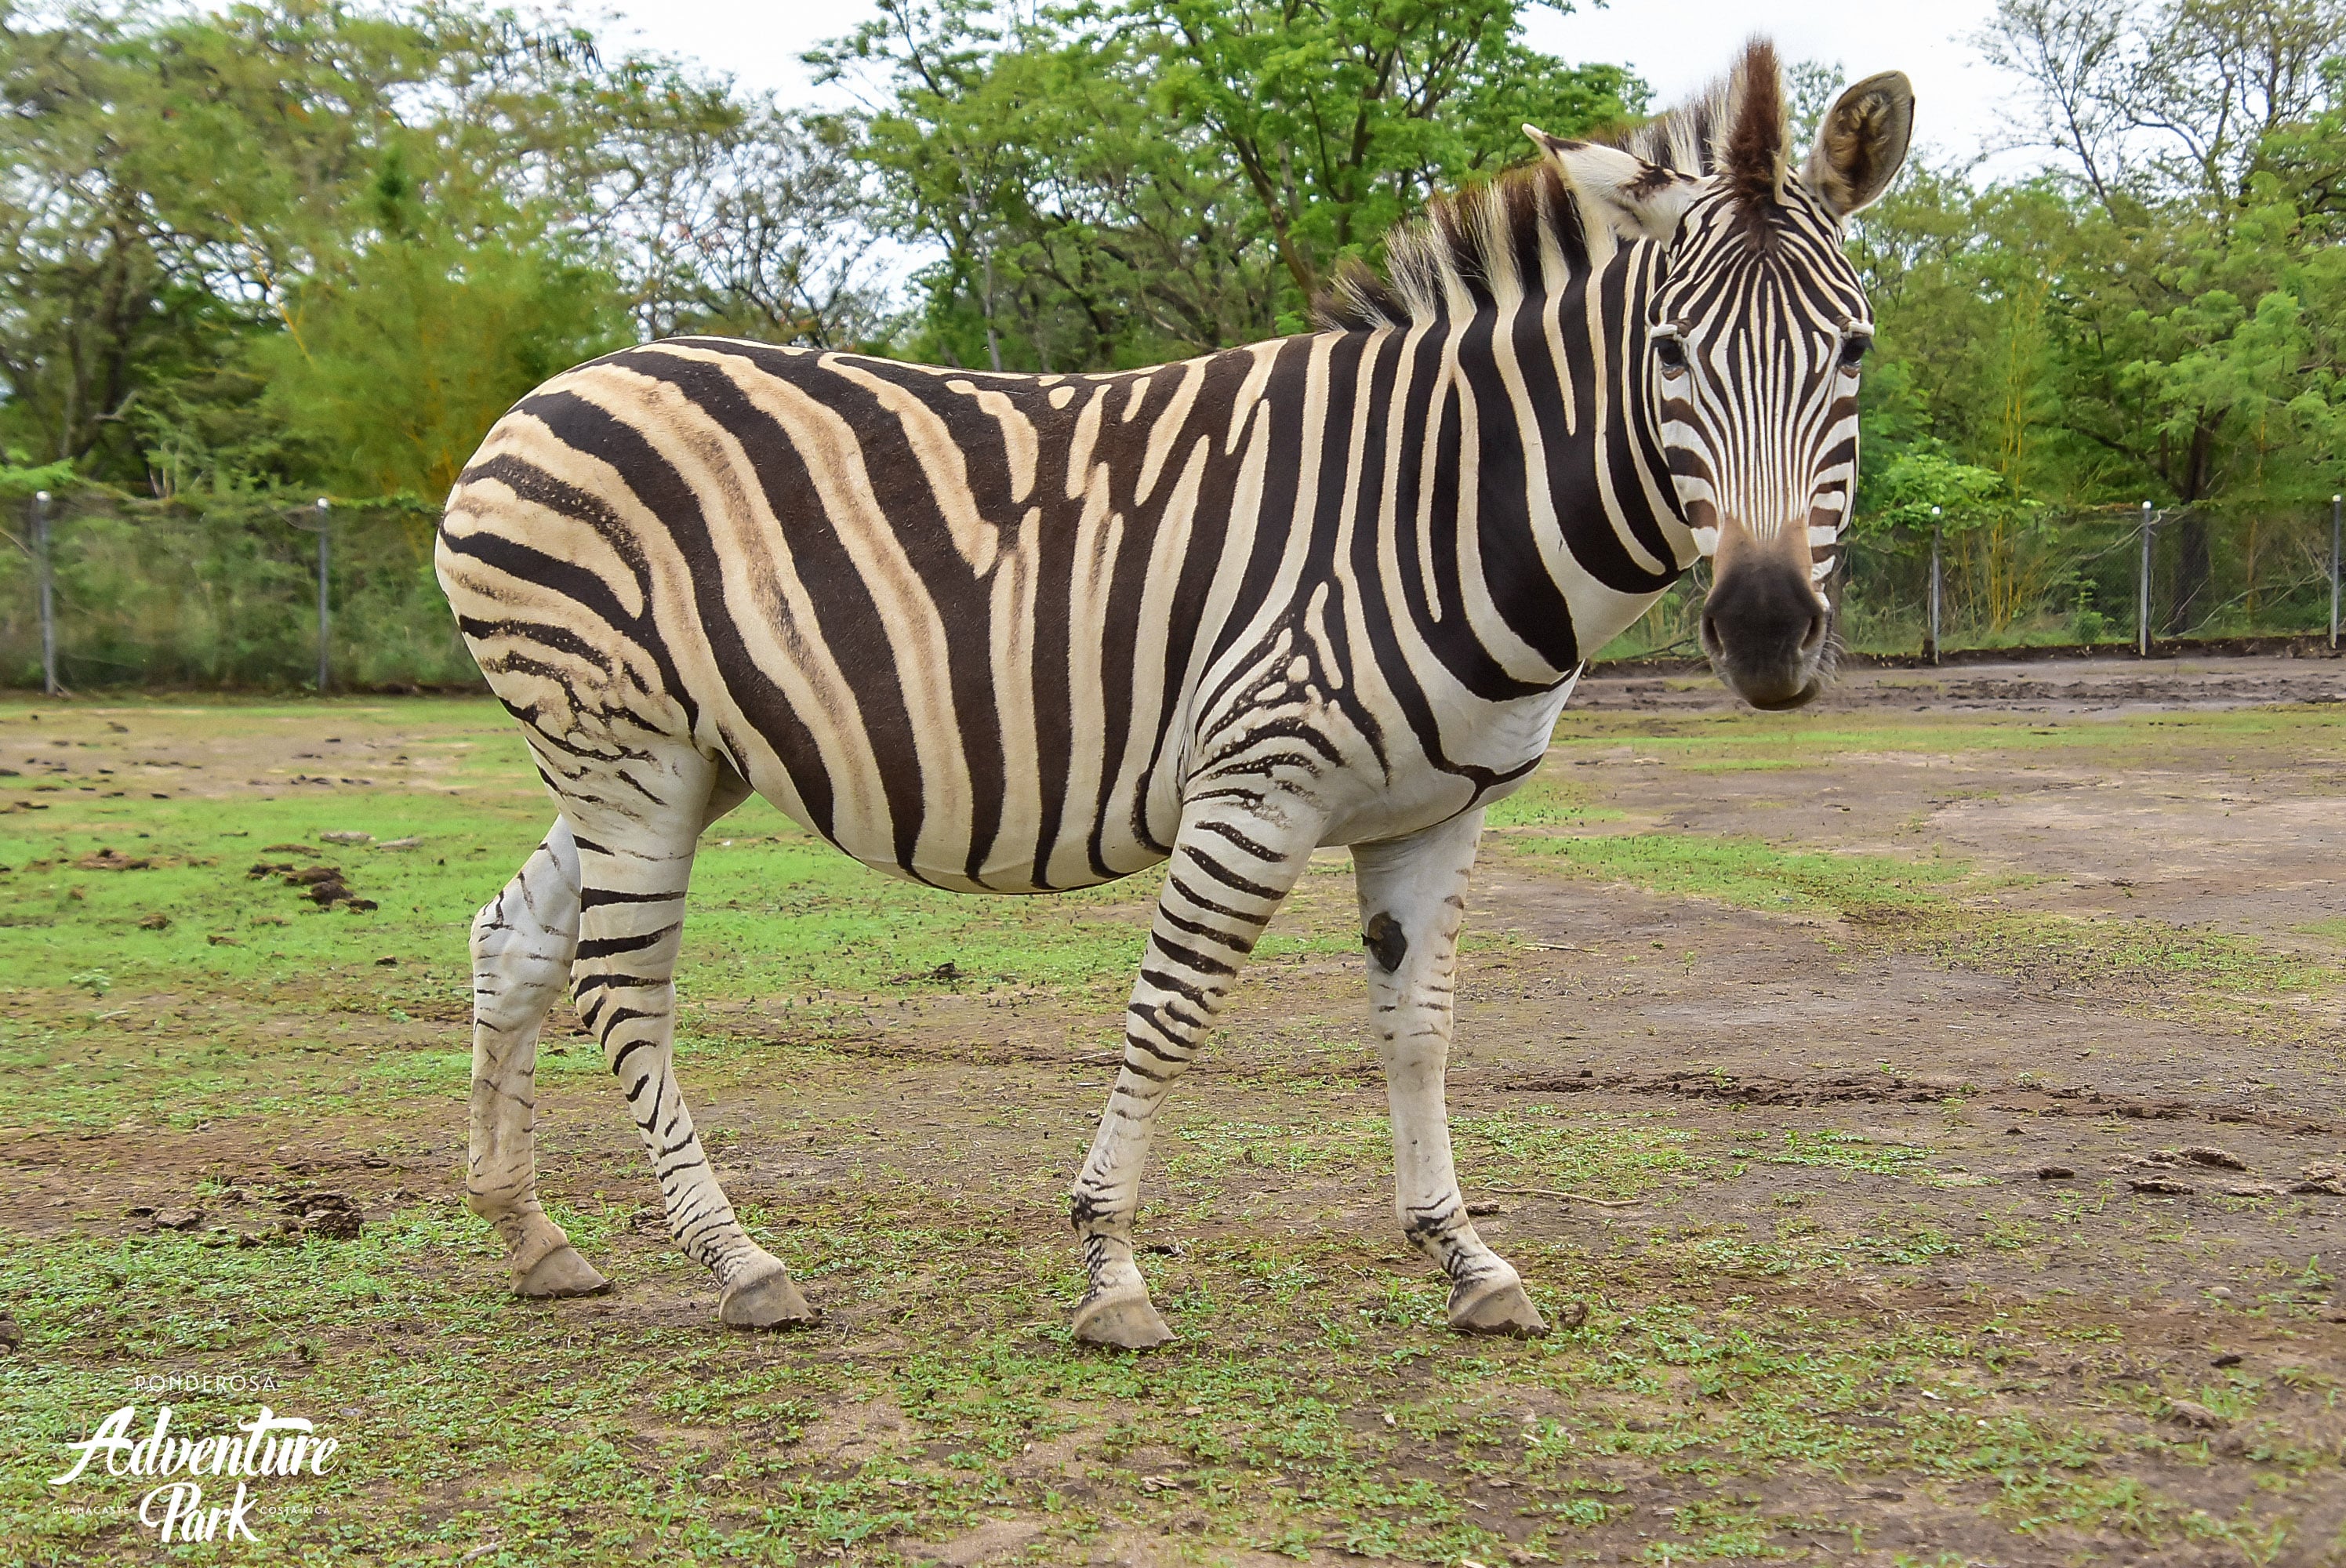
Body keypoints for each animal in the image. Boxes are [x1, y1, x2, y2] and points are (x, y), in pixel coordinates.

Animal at [436, 40, 1912, 1349]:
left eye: (1853, 353)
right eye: (1667, 351)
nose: (1766, 631)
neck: (1442, 502)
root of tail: (538, 396)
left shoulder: (1439, 809)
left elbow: (1419, 1032)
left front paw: (1466, 1260)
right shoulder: (1256, 783)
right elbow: (1171, 1012)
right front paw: (1111, 1274)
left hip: (673, 760)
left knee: (517, 936)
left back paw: (531, 1238)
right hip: (625, 749)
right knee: (624, 987)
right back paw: (738, 1262)